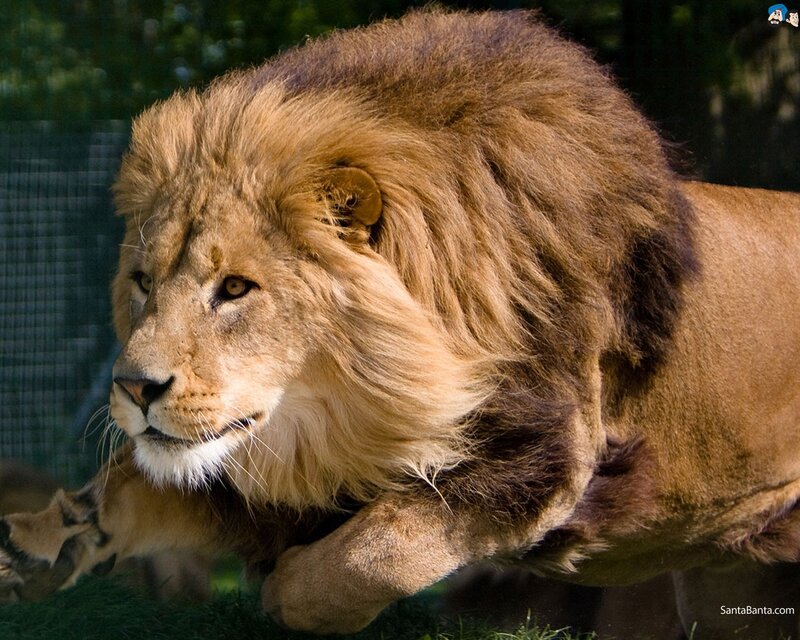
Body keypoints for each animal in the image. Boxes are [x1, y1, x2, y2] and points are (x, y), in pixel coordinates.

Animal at [1, 10, 799, 639]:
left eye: (234, 289)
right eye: (143, 283)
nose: (133, 388)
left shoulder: (550, 452)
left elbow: (375, 550)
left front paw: (284, 590)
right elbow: (129, 485)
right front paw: (35, 547)